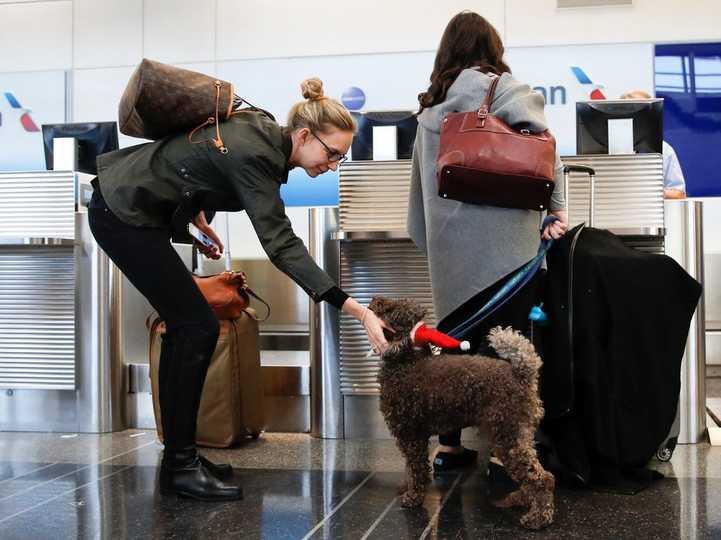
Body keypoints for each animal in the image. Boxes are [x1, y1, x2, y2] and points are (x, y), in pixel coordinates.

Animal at [368, 298, 556, 528]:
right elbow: (410, 469)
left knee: (542, 478)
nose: (373, 300)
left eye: (388, 309)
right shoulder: (413, 435)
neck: (405, 361)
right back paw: (522, 499)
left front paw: (413, 497)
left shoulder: (410, 434)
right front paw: (406, 487)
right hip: (520, 434)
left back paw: (538, 517)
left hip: (508, 435)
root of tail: (522, 372)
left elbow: (417, 468)